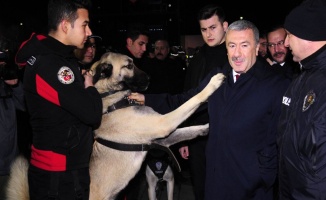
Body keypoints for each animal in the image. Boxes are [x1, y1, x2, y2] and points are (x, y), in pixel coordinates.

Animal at [5, 52, 224, 200]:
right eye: (129, 65)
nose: (150, 78)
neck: (113, 100)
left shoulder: (161, 138)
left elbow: (188, 130)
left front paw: (207, 128)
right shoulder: (163, 124)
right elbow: (191, 101)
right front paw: (212, 84)